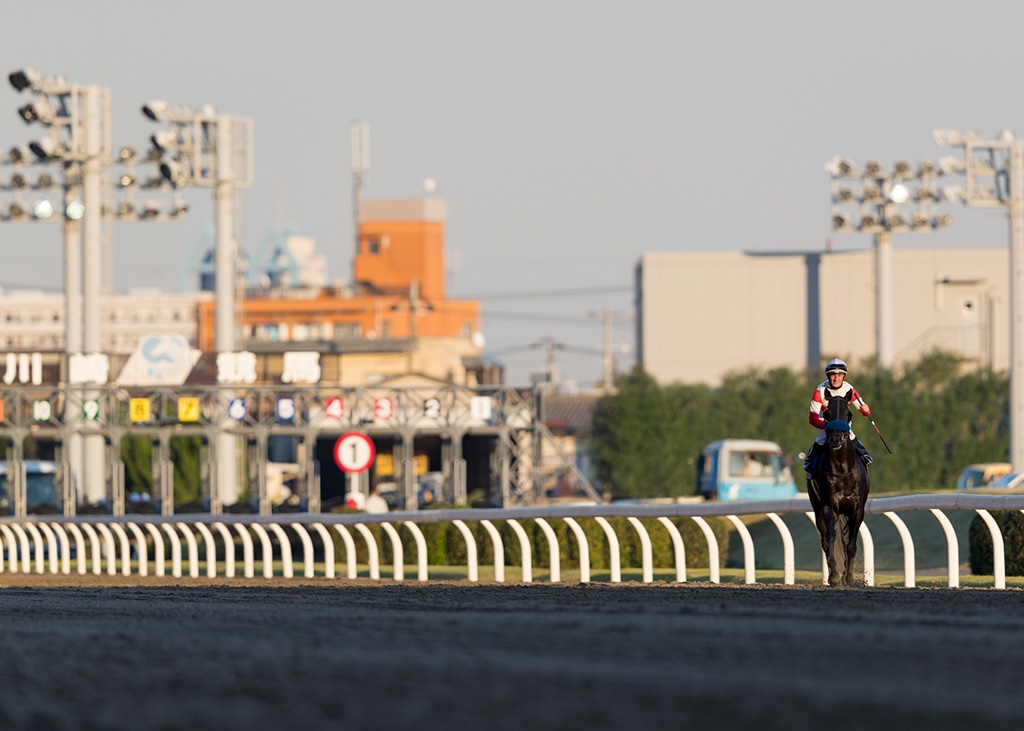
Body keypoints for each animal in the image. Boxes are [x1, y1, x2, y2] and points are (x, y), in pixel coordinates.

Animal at [807, 398, 870, 587]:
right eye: (827, 413)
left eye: (848, 413)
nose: (836, 437)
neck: (843, 471)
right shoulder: (829, 508)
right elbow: (830, 539)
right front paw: (834, 576)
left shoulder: (857, 510)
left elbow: (850, 544)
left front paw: (848, 577)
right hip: (817, 508)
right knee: (825, 541)